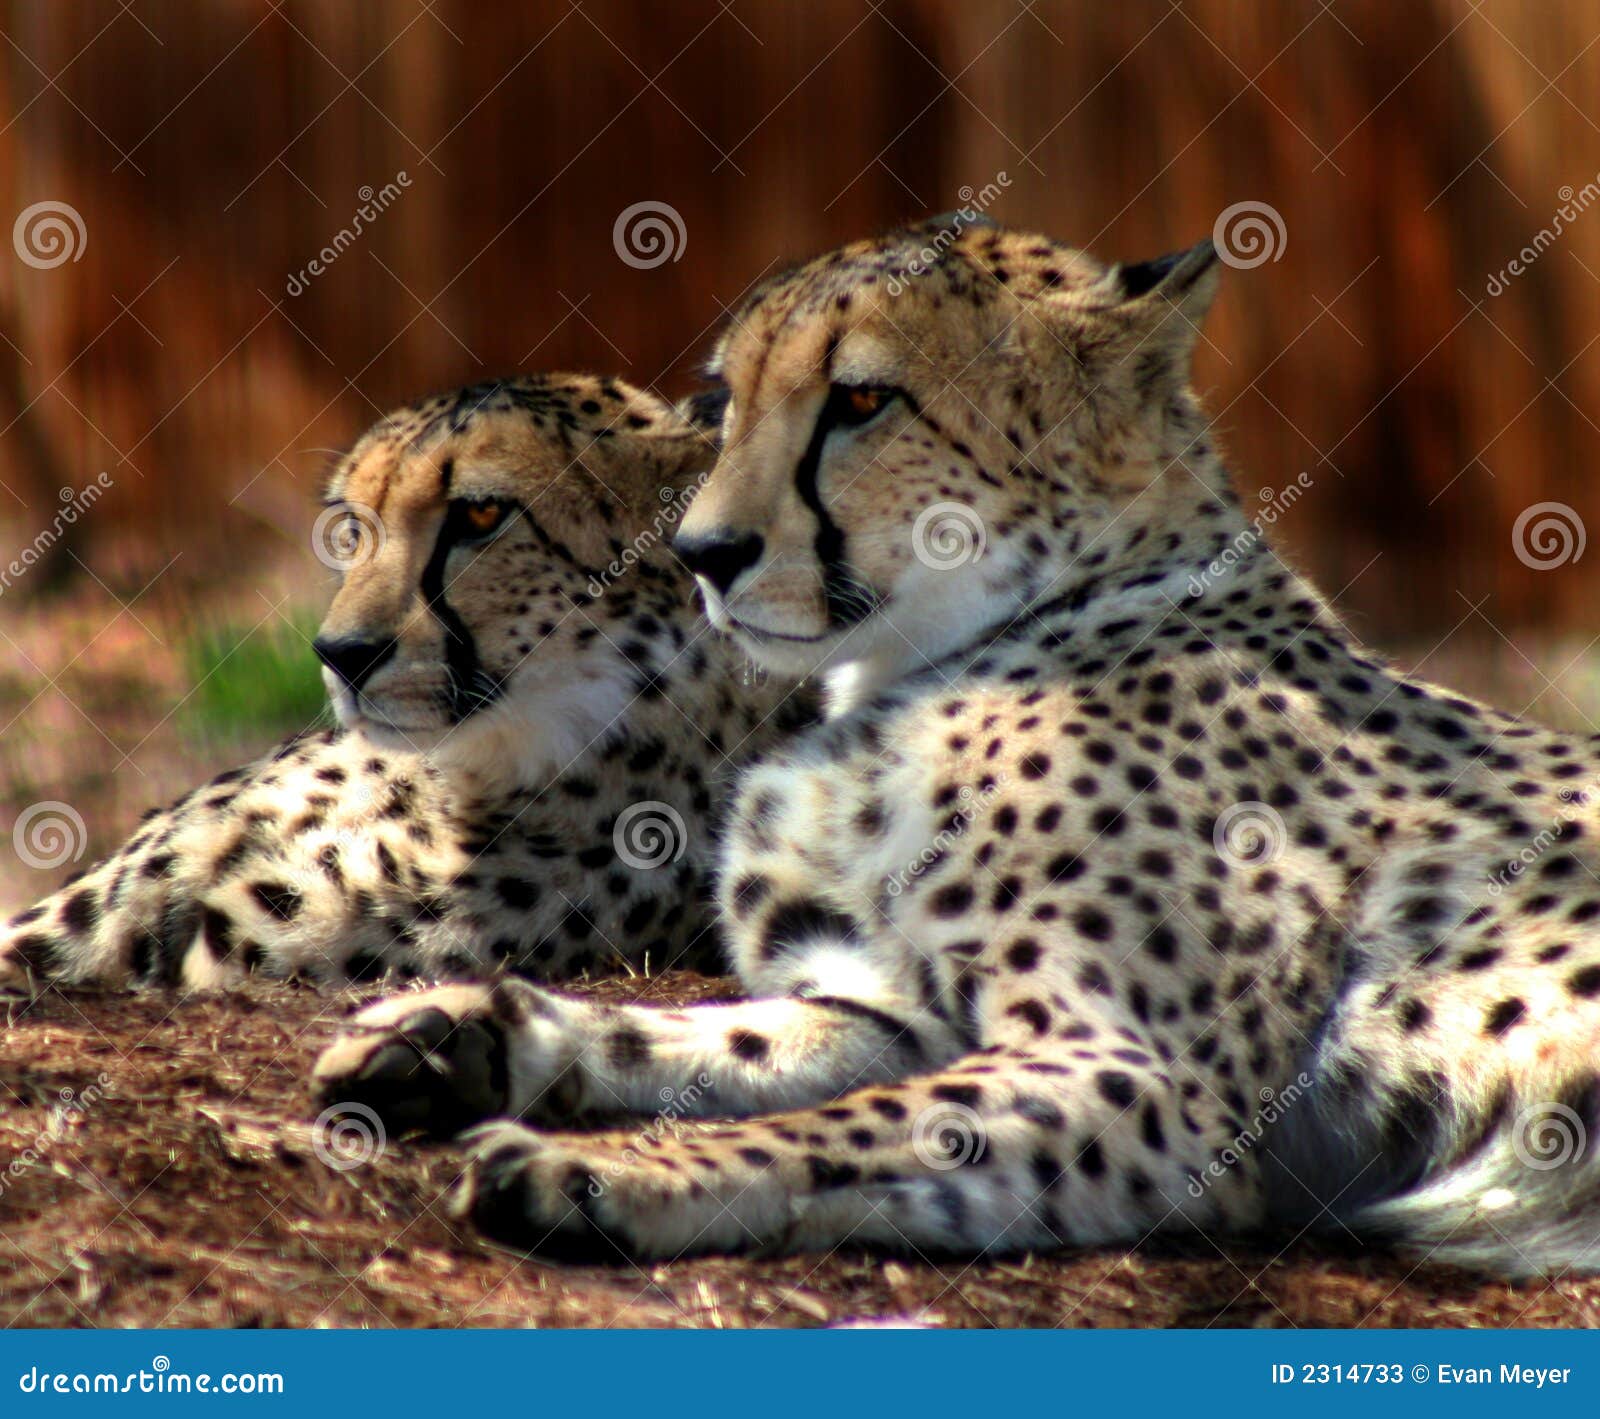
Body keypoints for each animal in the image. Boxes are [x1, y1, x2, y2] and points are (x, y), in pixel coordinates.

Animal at [315, 222, 1600, 1273]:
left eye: (860, 403)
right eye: (726, 402)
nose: (703, 552)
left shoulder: (1145, 1080)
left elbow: (829, 1129)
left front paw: (600, 1171)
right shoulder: (895, 1004)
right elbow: (722, 1039)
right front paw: (464, 1030)